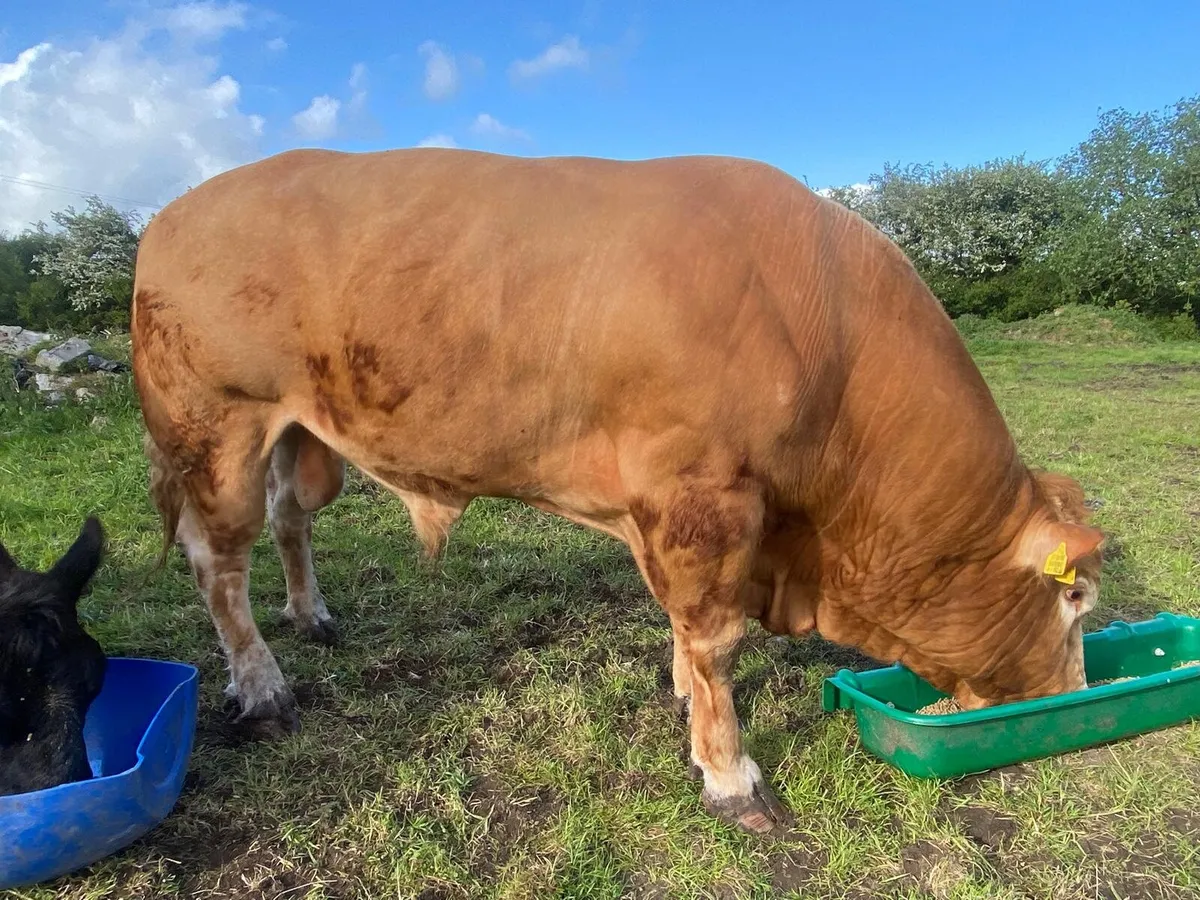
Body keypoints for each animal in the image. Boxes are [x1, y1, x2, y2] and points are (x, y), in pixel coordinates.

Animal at [130, 148, 1104, 834]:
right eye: (1076, 600)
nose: (1071, 696)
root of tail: (175, 212)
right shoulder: (706, 496)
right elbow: (716, 642)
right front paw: (729, 776)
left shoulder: (672, 513)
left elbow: (683, 626)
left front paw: (679, 692)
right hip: (213, 427)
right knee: (218, 562)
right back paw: (263, 687)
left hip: (300, 435)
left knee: (290, 519)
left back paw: (311, 615)